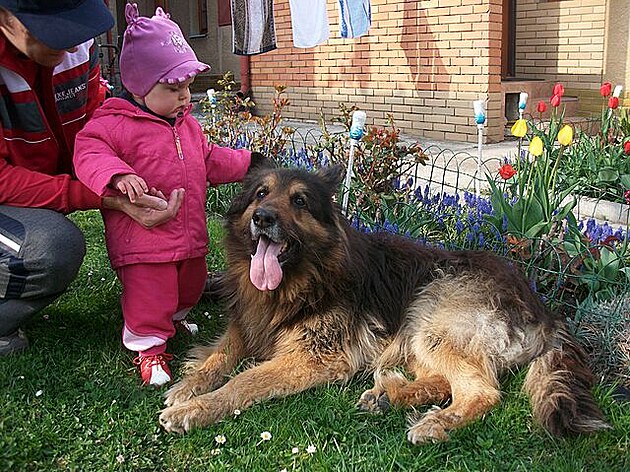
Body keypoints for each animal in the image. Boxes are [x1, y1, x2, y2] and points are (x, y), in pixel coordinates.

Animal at [160, 162, 608, 442]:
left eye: (300, 201)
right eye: (260, 194)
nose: (263, 218)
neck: (302, 280)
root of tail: (545, 309)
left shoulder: (315, 357)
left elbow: (245, 379)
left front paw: (195, 409)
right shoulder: (247, 327)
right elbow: (218, 358)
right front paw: (189, 387)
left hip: (431, 315)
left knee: (482, 391)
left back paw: (436, 422)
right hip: (420, 331)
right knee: (446, 379)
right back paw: (390, 396)